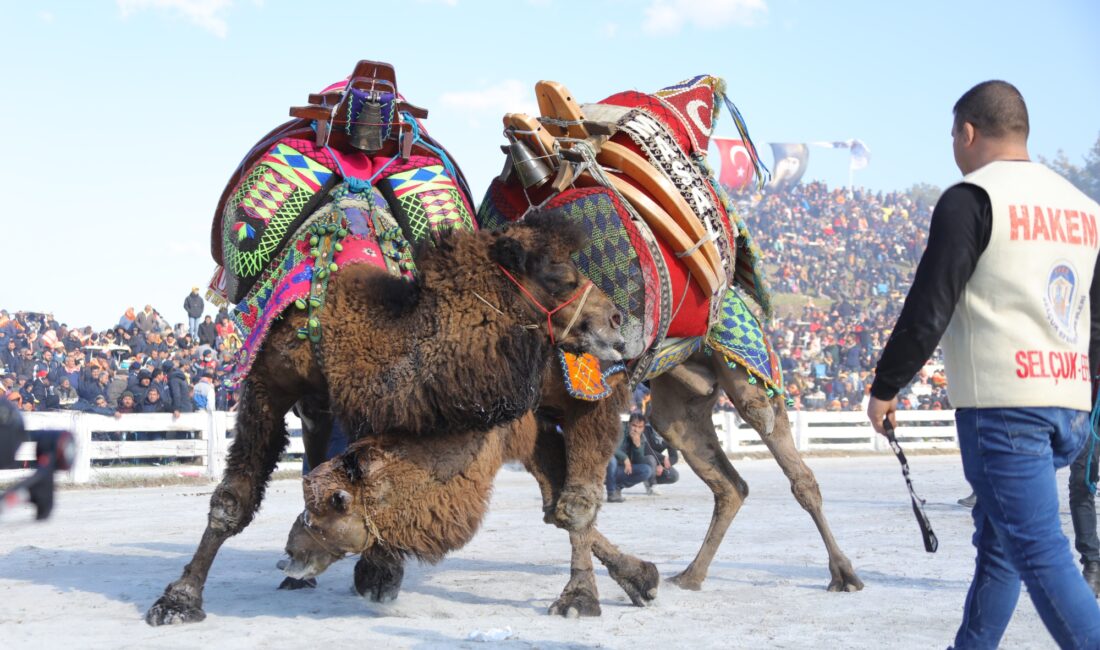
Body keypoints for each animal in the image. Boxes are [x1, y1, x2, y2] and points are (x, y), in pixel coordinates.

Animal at [145, 210, 629, 624]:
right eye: (561, 277)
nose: (616, 320)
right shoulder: (270, 384)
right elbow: (233, 500)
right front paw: (178, 600)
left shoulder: (378, 406)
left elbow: (376, 483)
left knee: (559, 497)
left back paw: (627, 578)